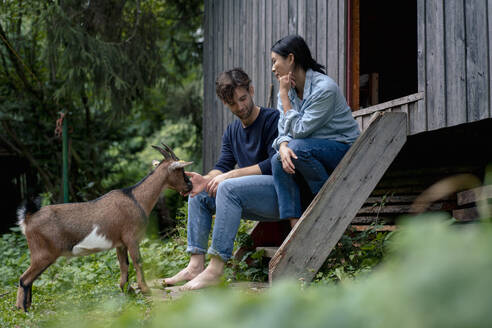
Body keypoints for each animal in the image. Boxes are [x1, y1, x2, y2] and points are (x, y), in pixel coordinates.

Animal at [15, 143, 192, 310]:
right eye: (181, 171)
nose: (189, 186)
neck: (136, 199)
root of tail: (28, 218)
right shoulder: (132, 238)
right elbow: (138, 261)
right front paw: (145, 290)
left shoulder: (120, 243)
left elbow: (124, 265)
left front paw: (127, 290)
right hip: (43, 253)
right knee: (24, 279)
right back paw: (23, 310)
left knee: (28, 279)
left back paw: (26, 307)